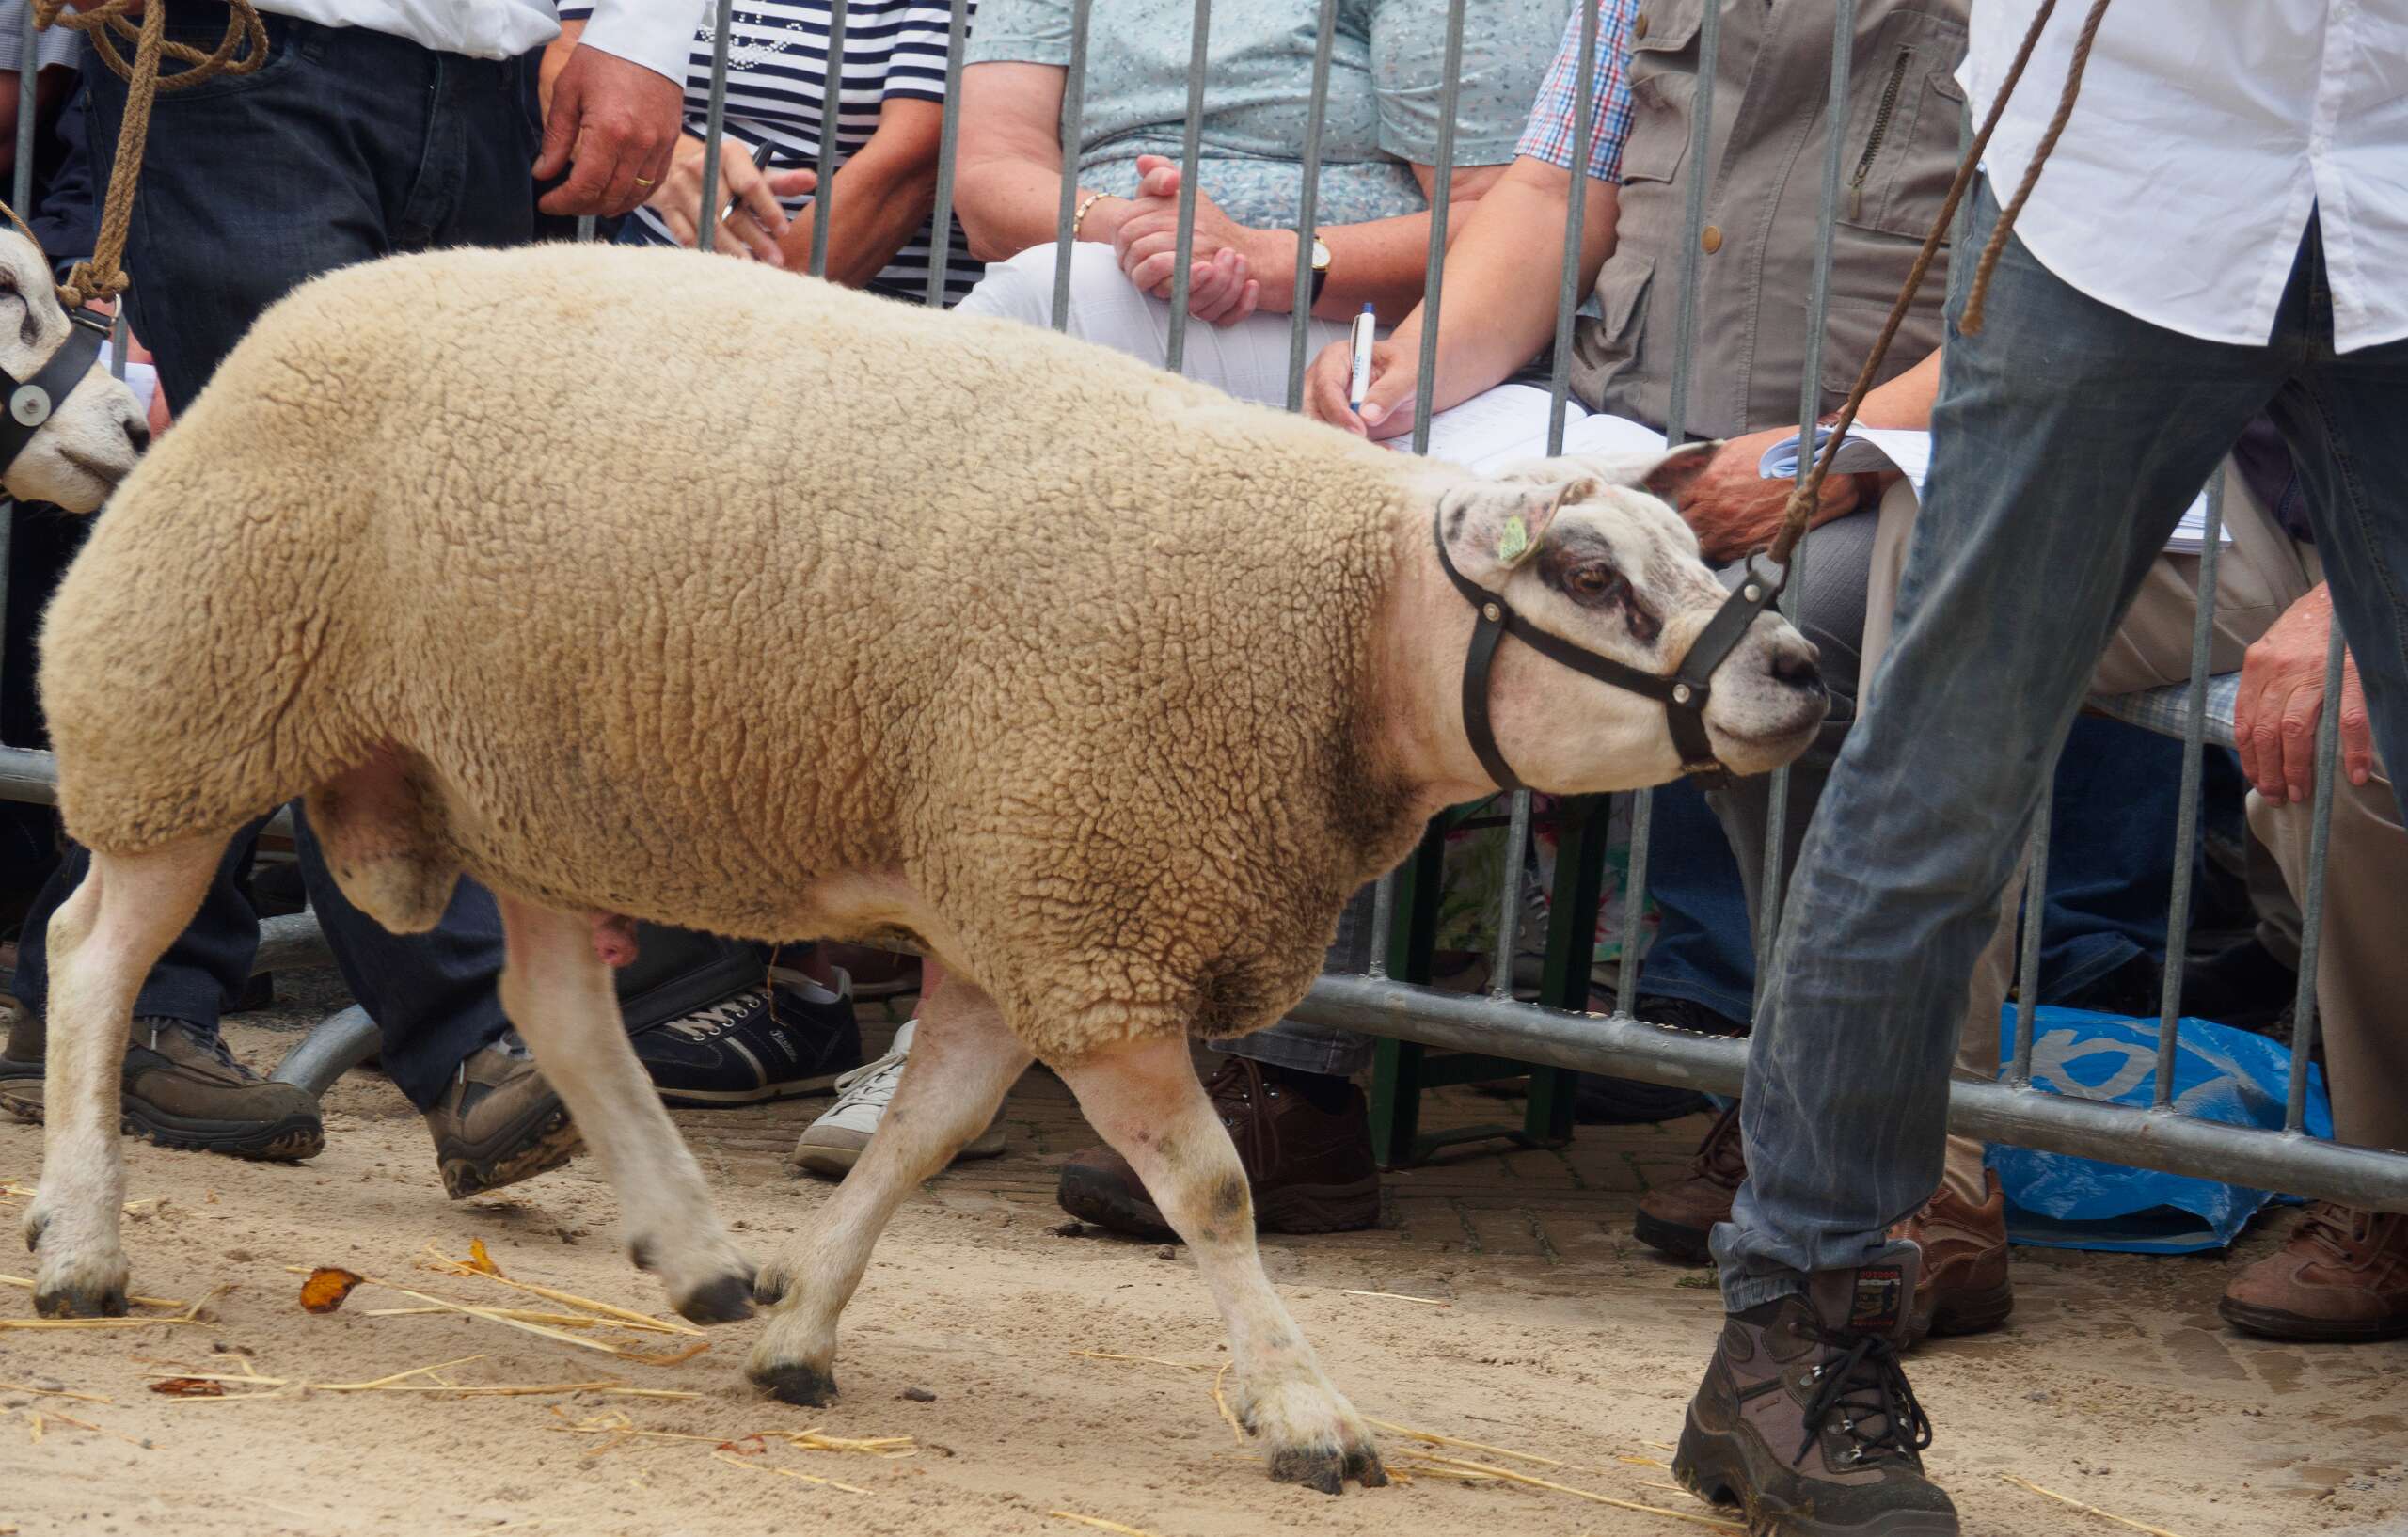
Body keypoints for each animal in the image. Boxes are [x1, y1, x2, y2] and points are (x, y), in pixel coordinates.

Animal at [20, 240, 1825, 1494]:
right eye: (1587, 572)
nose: (1802, 666)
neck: (1332, 620)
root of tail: (283, 322)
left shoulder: (1023, 906)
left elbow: (924, 1139)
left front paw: (802, 1335)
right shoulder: (1087, 903)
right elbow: (1212, 1189)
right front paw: (1307, 1412)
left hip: (521, 763)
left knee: (555, 1000)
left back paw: (698, 1251)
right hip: (197, 698)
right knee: (95, 948)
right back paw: (82, 1239)